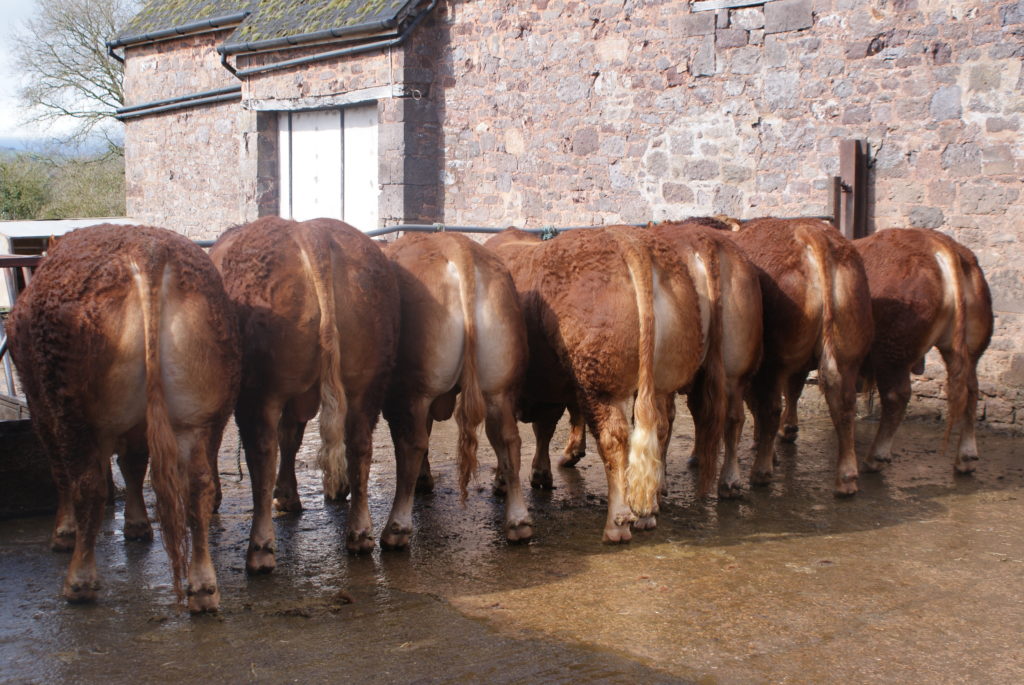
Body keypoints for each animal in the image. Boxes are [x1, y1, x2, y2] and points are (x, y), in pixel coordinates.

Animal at [7, 224, 240, 612]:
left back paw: (80, 579)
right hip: (202, 418)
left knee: (86, 485)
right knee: (199, 487)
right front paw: (137, 525)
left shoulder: (40, 410)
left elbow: (63, 475)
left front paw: (65, 531)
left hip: (74, 414)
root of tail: (148, 252)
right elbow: (133, 465)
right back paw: (203, 586)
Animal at [209, 217, 399, 571]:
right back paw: (360, 534)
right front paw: (288, 494)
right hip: (367, 385)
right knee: (359, 448)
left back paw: (260, 550)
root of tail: (313, 233)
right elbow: (293, 438)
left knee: (262, 454)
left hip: (261, 392)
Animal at [379, 232, 532, 548]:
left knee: (411, 443)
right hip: (499, 388)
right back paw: (518, 521)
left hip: (412, 390)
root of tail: (456, 246)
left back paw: (396, 528)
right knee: (508, 439)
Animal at [486, 227, 707, 541]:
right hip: (661, 381)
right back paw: (648, 509)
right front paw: (540, 473)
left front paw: (503, 481)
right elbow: (544, 429)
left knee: (614, 439)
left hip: (598, 385)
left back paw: (618, 522)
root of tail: (628, 241)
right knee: (658, 430)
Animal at [729, 218, 874, 495]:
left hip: (772, 361)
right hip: (848, 355)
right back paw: (846, 478)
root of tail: (811, 232)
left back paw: (761, 471)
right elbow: (794, 390)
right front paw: (788, 431)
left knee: (772, 407)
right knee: (844, 404)